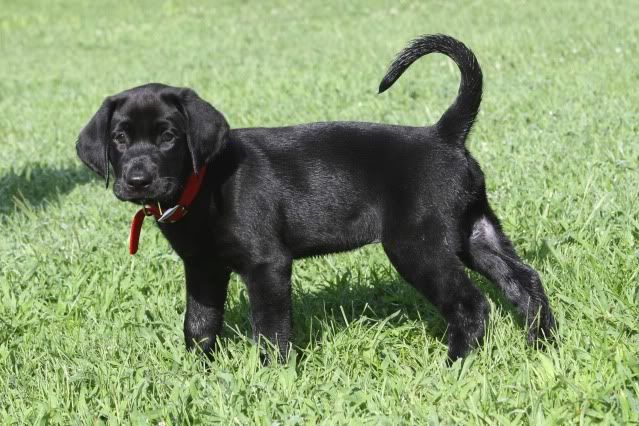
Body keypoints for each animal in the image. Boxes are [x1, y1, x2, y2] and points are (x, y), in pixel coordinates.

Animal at [75, 35, 556, 362]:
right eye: (120, 138)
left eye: (169, 137)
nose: (138, 179)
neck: (205, 183)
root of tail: (444, 135)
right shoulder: (203, 268)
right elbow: (198, 324)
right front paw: (197, 374)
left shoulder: (266, 265)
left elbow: (271, 331)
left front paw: (271, 380)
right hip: (475, 232)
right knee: (524, 282)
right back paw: (543, 347)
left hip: (418, 246)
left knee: (471, 305)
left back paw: (454, 364)